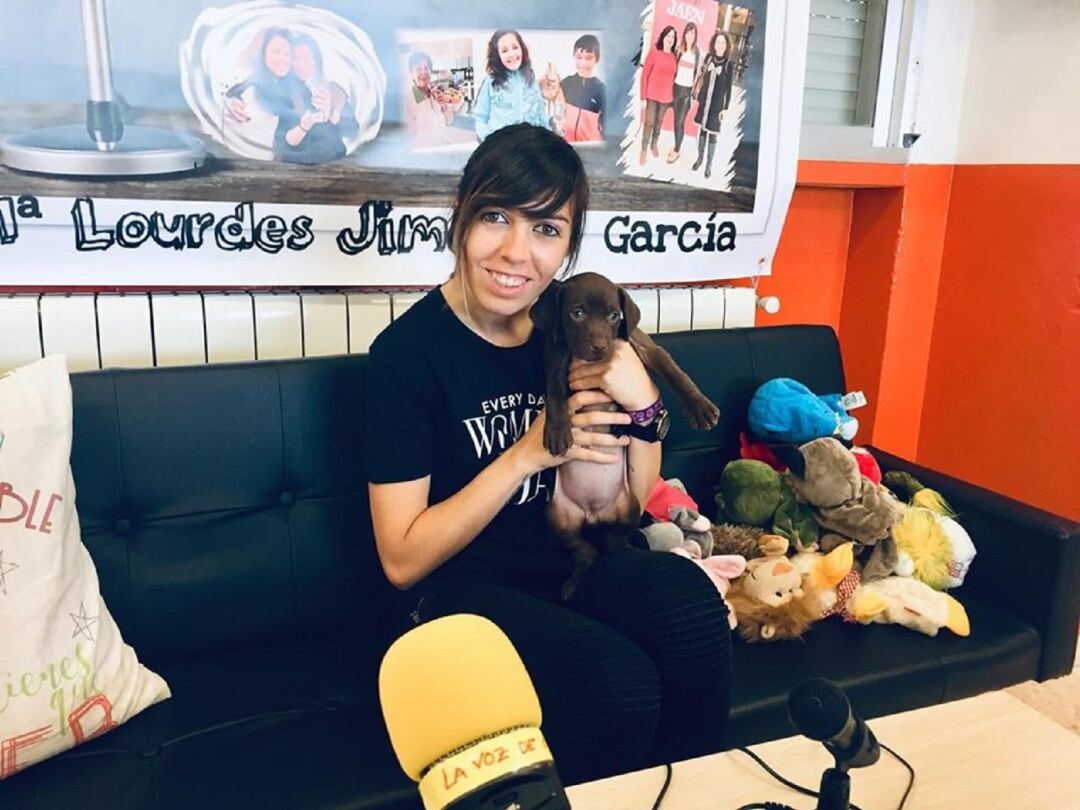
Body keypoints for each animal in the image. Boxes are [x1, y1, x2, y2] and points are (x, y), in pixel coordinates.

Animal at [529, 273, 717, 596]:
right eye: (576, 313)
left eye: (614, 316)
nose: (600, 347)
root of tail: (593, 514)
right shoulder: (556, 356)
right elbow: (554, 393)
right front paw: (557, 431)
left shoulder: (644, 347)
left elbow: (676, 373)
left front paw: (700, 407)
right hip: (557, 520)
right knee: (587, 552)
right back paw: (574, 582)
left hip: (630, 508)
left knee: (614, 543)